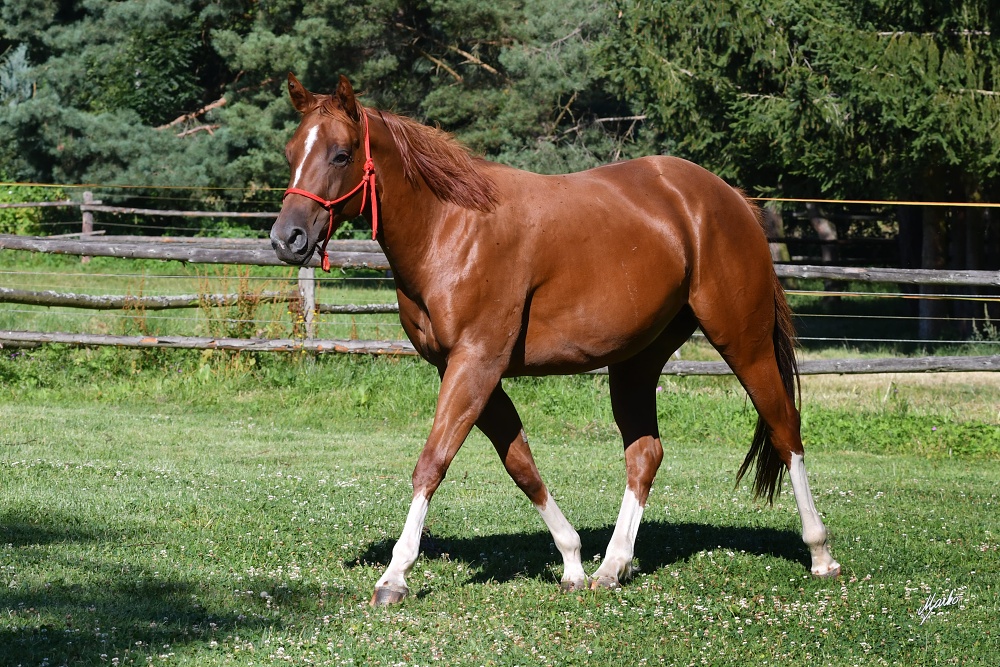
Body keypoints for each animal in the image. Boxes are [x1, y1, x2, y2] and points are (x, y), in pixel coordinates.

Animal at [270, 73, 840, 604]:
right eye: (292, 152)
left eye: (341, 154)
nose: (286, 238)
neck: (451, 227)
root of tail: (731, 200)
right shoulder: (467, 369)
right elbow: (521, 464)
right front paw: (572, 561)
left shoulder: (476, 362)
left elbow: (432, 462)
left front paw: (395, 576)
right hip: (637, 362)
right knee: (645, 455)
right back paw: (612, 567)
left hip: (743, 343)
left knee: (786, 431)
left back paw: (820, 553)